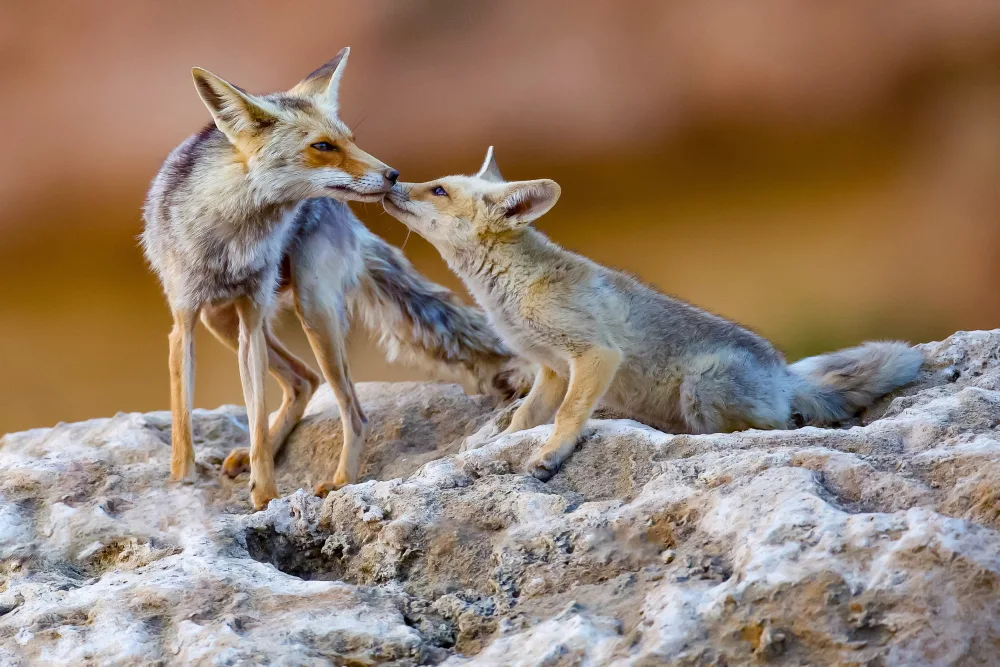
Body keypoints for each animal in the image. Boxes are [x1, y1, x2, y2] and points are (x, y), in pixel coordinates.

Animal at [142, 50, 527, 510]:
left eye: (351, 139)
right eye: (323, 147)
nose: (393, 175)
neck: (230, 233)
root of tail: (346, 217)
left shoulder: (251, 319)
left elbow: (256, 422)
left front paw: (265, 496)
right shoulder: (184, 320)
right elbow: (183, 424)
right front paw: (180, 484)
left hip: (312, 310)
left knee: (350, 410)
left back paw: (340, 481)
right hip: (221, 319)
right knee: (303, 380)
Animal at [382, 147, 925, 480]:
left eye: (437, 190)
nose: (390, 179)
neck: (512, 293)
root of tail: (784, 374)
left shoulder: (595, 355)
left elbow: (568, 415)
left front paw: (551, 455)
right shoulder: (552, 368)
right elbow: (523, 418)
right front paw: (501, 446)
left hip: (702, 390)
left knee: (778, 427)